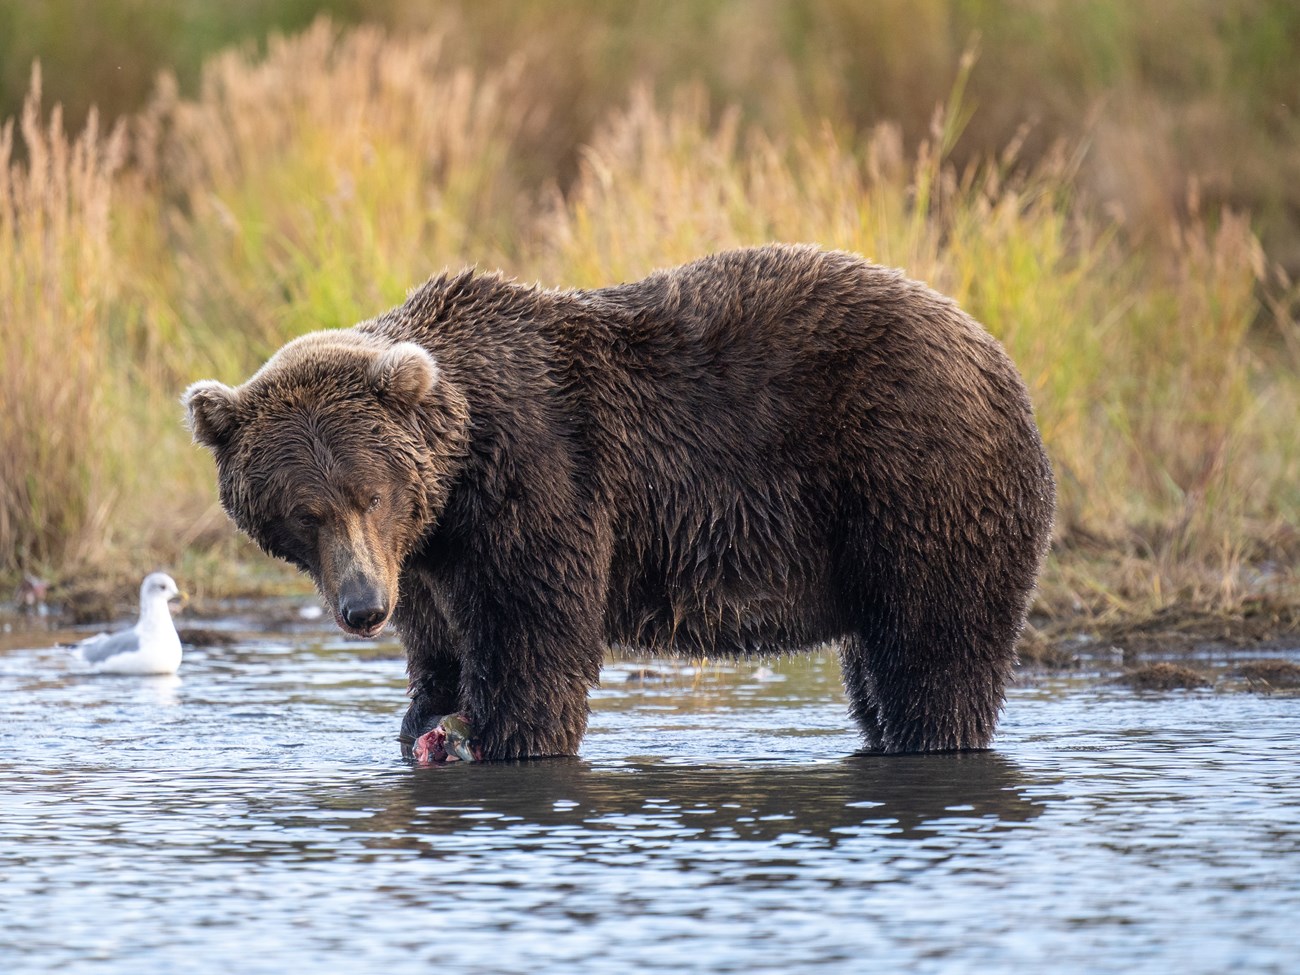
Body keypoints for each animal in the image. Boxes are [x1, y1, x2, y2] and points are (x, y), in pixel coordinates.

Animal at [185, 244, 1055, 764]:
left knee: (933, 654)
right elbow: (439, 651)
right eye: (303, 512)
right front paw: (426, 722)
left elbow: (533, 643)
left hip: (916, 478)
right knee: (877, 664)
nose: (363, 608)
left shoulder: (542, 484)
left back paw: (930, 737)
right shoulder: (430, 560)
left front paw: (503, 736)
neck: (457, 484)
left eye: (368, 492)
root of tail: (994, 350)